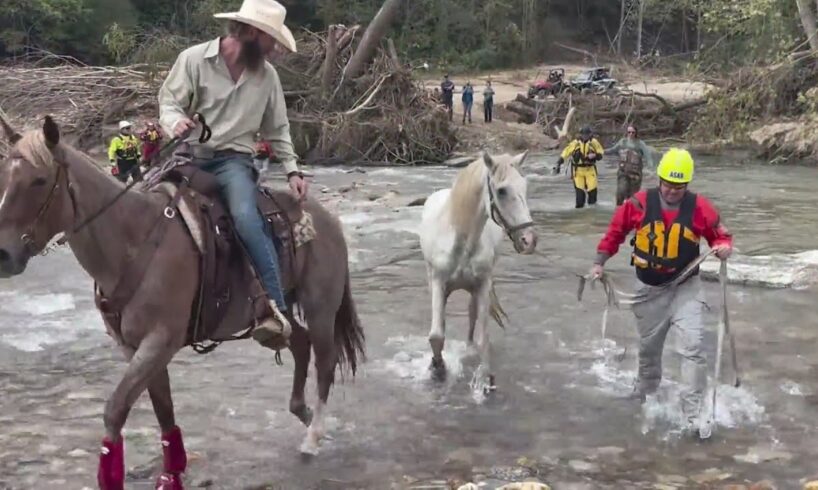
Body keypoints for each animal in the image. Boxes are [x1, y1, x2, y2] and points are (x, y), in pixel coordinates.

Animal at [0, 116, 364, 490]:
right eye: (4, 176)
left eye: (39, 180)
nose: (4, 255)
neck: (135, 239)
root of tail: (325, 216)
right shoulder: (135, 347)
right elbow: (163, 410)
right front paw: (172, 473)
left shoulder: (160, 341)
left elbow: (116, 408)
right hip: (285, 307)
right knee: (300, 344)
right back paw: (304, 414)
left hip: (321, 308)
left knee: (325, 362)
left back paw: (314, 436)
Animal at [418, 151, 540, 392]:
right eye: (501, 190)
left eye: (525, 186)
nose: (528, 240)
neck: (460, 240)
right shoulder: (438, 282)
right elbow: (436, 335)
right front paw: (438, 367)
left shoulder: (482, 285)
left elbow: (484, 338)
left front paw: (484, 380)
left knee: (472, 314)